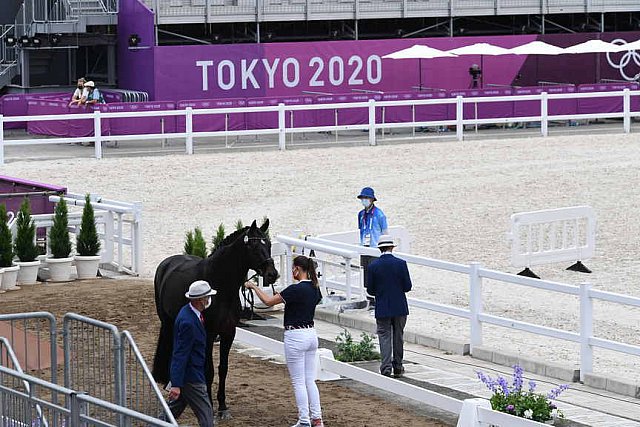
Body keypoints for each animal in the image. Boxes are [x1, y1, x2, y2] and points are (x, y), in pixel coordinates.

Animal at [153, 219, 280, 420]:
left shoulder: (229, 333)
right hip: (167, 321)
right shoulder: (209, 333)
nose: (272, 274)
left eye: (267, 244)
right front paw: (210, 406)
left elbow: (223, 369)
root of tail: (167, 263)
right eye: (253, 246)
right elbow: (209, 370)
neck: (220, 286)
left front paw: (223, 407)